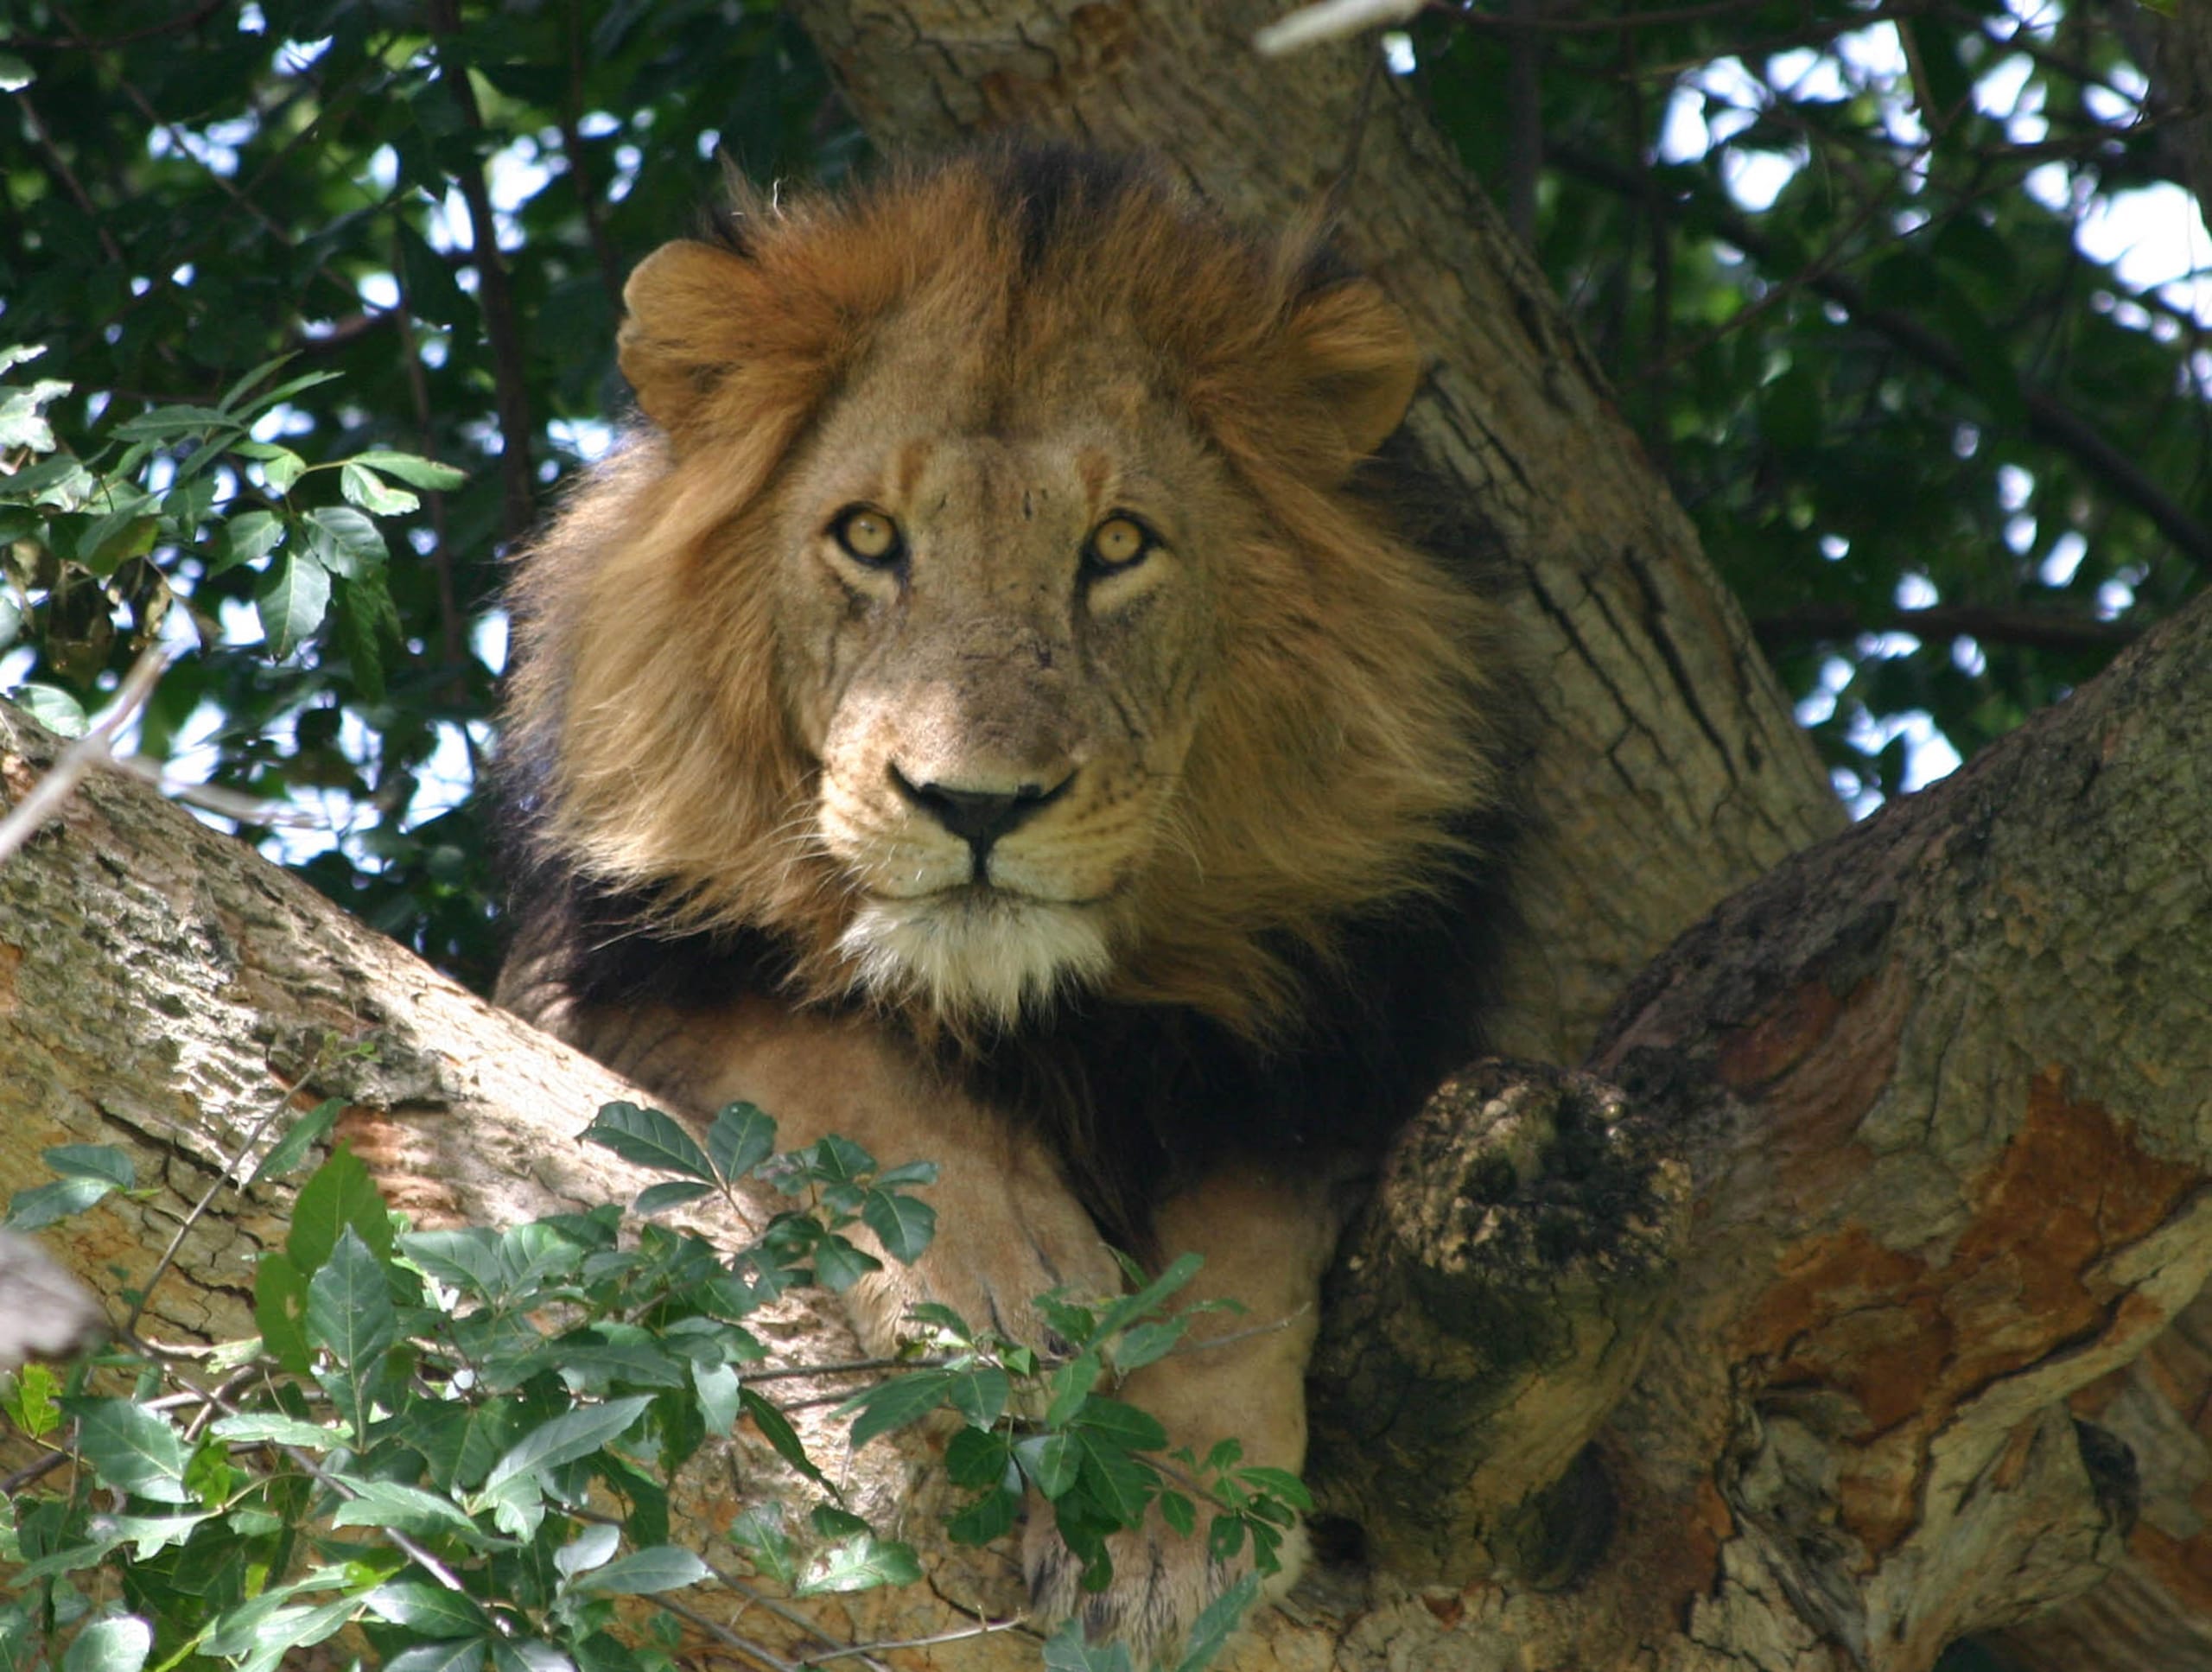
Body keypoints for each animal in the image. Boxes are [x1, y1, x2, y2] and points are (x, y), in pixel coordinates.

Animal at [495, 143, 1519, 1658]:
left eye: (1119, 543)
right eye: (869, 535)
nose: (975, 804)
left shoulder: (1355, 1050)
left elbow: (1241, 1245)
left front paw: (1170, 1519)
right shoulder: (594, 974)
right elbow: (832, 1046)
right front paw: (1004, 1282)